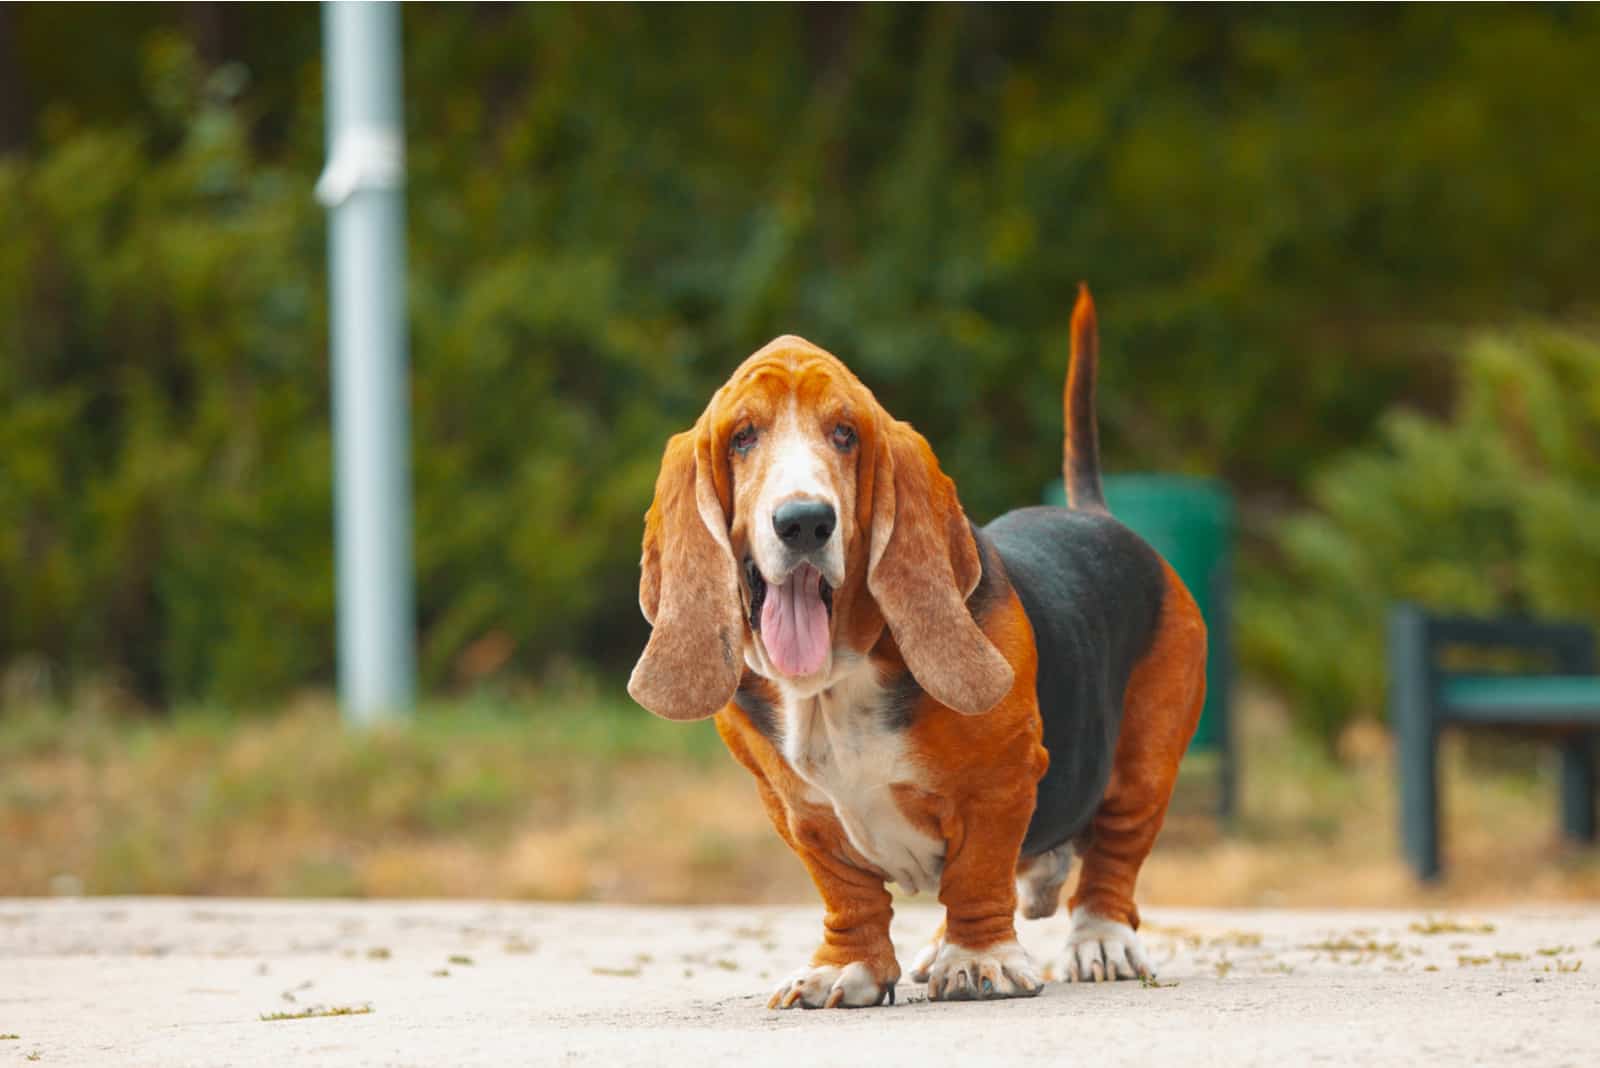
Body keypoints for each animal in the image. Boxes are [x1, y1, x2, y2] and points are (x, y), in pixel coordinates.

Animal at [624, 286, 1203, 1010]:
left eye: (845, 435)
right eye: (742, 437)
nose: (805, 521)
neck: (831, 685)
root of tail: (1095, 513)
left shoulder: (1000, 779)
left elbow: (978, 873)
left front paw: (980, 960)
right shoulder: (798, 812)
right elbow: (848, 894)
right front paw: (847, 969)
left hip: (1144, 763)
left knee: (1114, 858)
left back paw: (1099, 941)